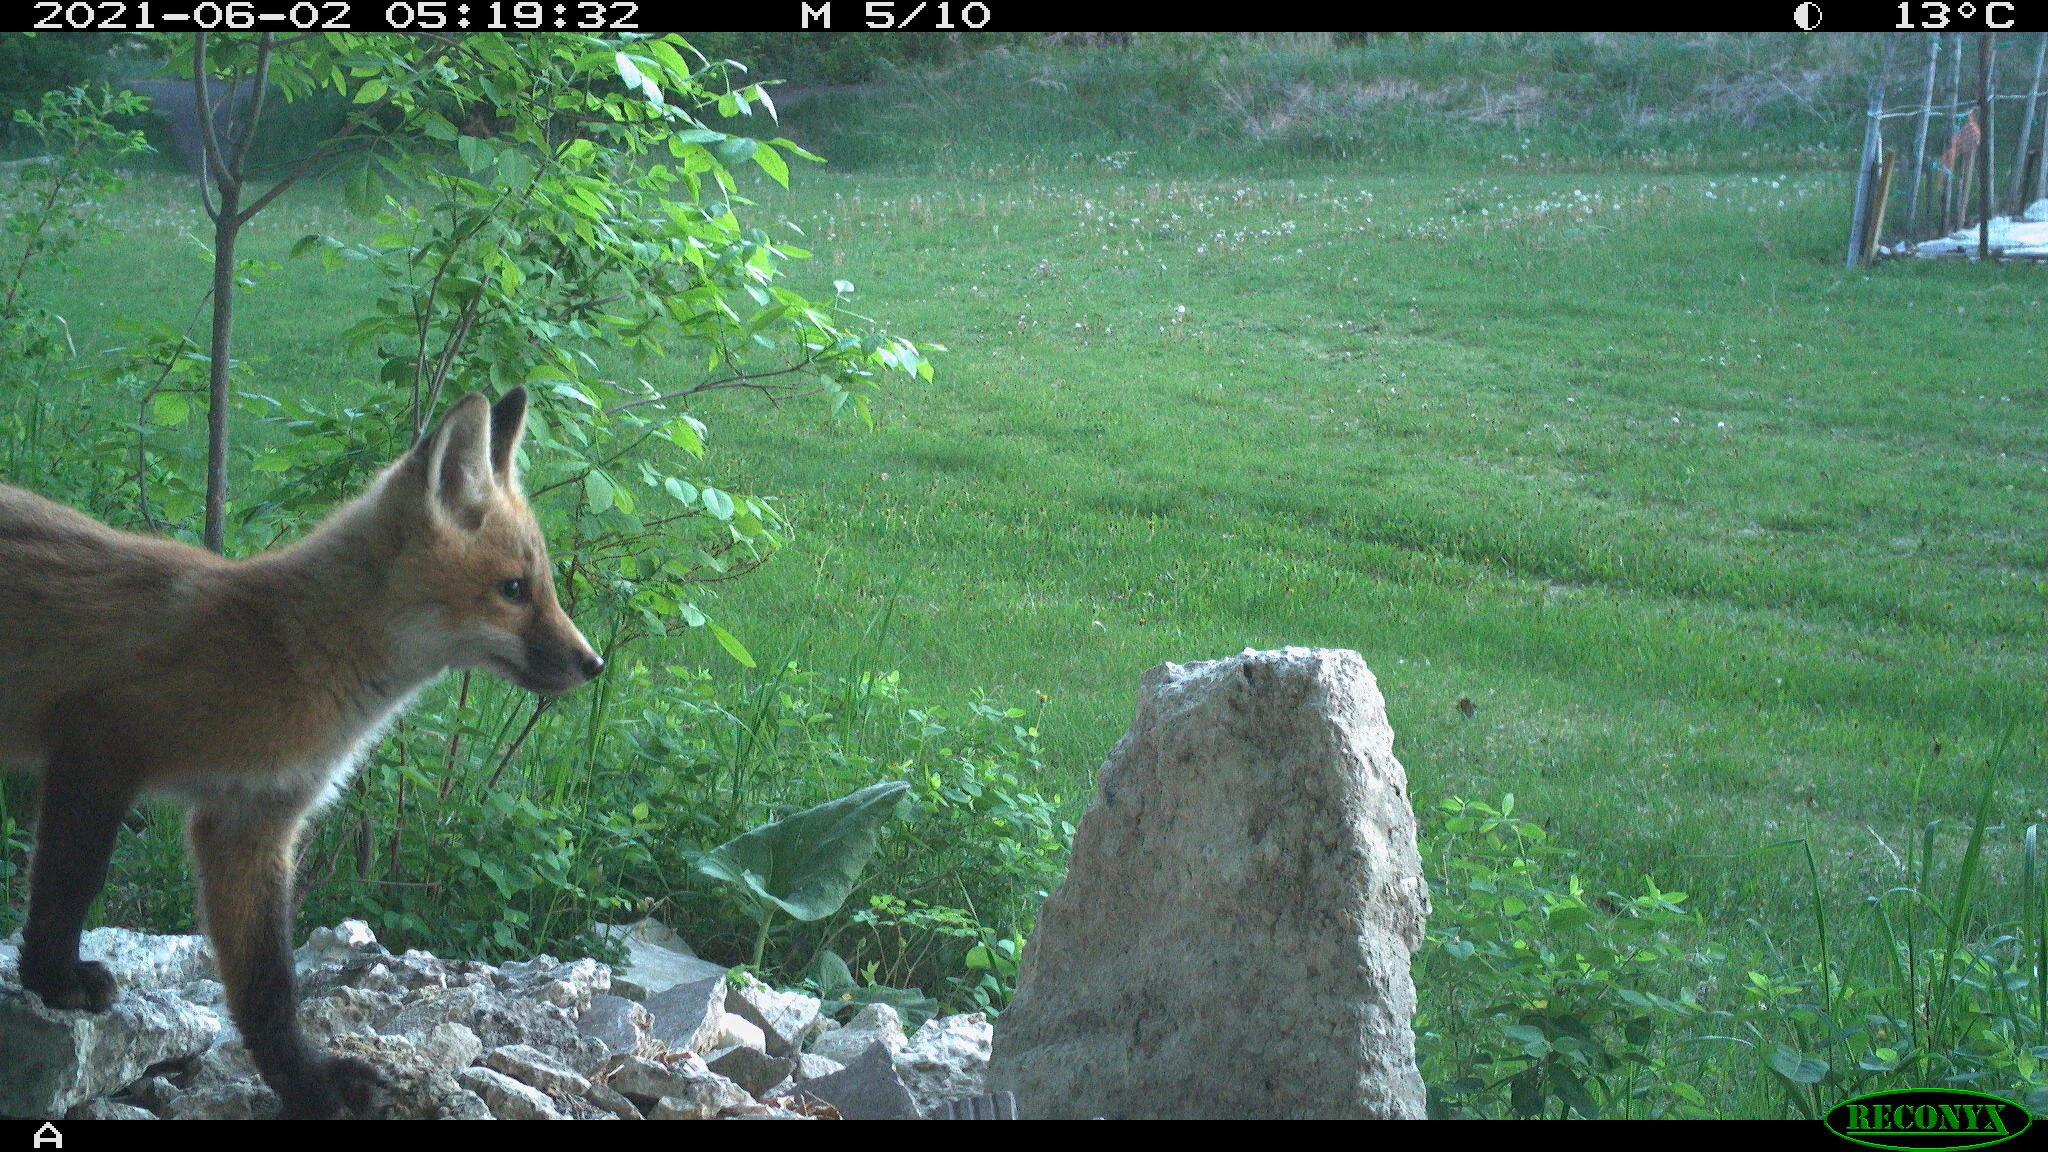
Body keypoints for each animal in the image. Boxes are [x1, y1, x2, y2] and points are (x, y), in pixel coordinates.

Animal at [0, 387, 602, 1118]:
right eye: (514, 590)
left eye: (545, 587)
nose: (594, 664)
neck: (290, 659)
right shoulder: (98, 743)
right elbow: (71, 880)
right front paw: (52, 979)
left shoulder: (251, 820)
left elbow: (269, 985)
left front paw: (307, 1081)